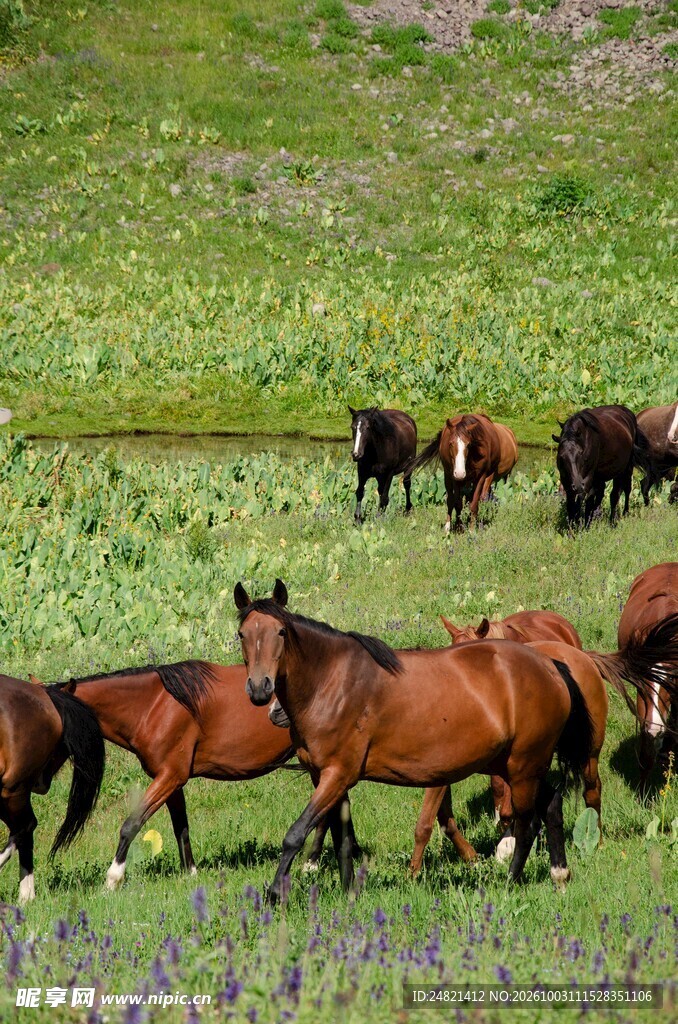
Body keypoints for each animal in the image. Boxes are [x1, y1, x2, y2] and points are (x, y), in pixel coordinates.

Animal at [39, 659, 354, 889]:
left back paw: (312, 863)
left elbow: (131, 824)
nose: (40, 782)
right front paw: (190, 872)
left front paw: (113, 878)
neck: (154, 706)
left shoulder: (169, 778)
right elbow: (181, 827)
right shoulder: (172, 781)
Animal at [235, 579, 595, 902]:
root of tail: (550, 665)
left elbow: (295, 834)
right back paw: (559, 876)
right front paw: (350, 893)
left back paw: (511, 881)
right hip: (517, 765)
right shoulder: (326, 777)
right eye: (243, 634)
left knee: (527, 823)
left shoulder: (337, 775)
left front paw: (274, 894)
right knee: (552, 806)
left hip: (523, 766)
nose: (260, 689)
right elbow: (342, 839)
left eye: (281, 632)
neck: (334, 682)